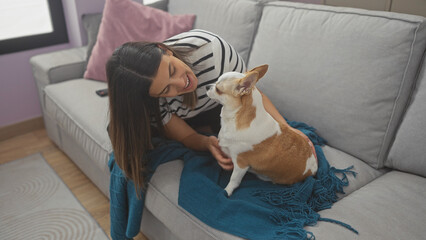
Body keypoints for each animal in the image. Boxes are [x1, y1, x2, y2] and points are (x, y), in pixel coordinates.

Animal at [206, 64, 316, 196]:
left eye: (218, 89)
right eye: (216, 81)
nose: (207, 86)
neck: (233, 118)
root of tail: (314, 168)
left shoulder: (241, 164)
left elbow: (234, 180)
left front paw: (226, 192)